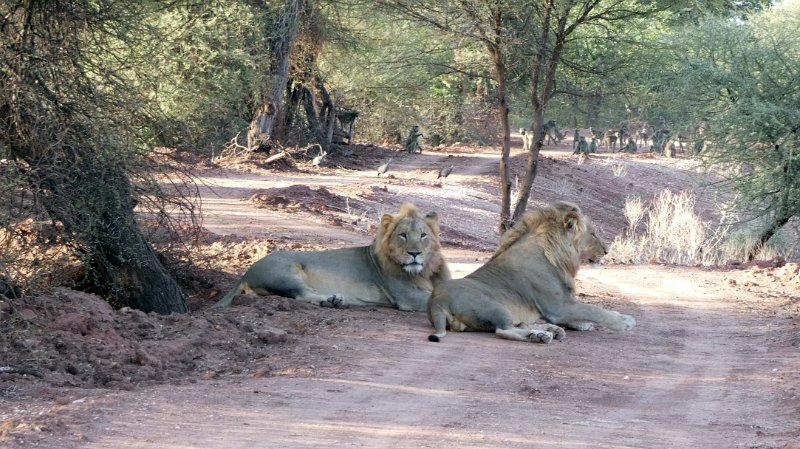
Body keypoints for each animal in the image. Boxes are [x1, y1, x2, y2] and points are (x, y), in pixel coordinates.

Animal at [212, 203, 450, 311]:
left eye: (423, 235)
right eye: (403, 235)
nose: (414, 253)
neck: (424, 271)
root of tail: (245, 272)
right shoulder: (406, 296)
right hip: (285, 272)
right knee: (300, 294)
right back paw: (331, 300)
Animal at [427, 201, 635, 343]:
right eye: (593, 234)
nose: (606, 251)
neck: (558, 255)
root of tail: (436, 301)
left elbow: (590, 311)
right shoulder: (558, 306)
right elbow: (594, 310)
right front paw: (623, 322)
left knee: (516, 325)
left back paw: (550, 330)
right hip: (496, 307)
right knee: (504, 330)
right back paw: (541, 335)